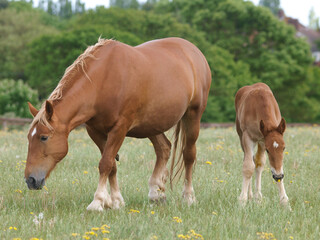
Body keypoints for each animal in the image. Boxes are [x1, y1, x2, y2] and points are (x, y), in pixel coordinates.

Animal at [25, 37, 212, 210]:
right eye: (29, 137)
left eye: (43, 137)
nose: (30, 180)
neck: (103, 80)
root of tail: (194, 52)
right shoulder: (95, 131)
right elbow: (112, 165)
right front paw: (115, 201)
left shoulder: (119, 129)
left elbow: (105, 163)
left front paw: (98, 201)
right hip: (152, 124)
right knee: (164, 148)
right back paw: (156, 193)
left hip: (193, 116)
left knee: (188, 155)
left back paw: (188, 197)